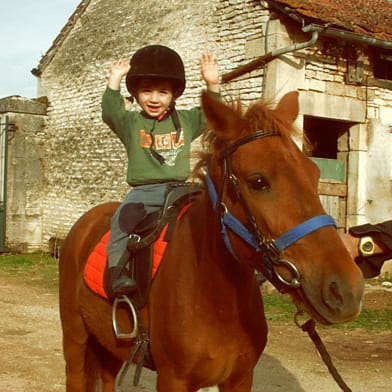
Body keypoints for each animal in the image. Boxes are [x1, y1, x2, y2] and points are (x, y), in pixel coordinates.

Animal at [59, 90, 364, 390]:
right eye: (258, 181)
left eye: (314, 173)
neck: (215, 300)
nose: (346, 290)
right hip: (75, 340)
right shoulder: (173, 381)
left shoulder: (240, 379)